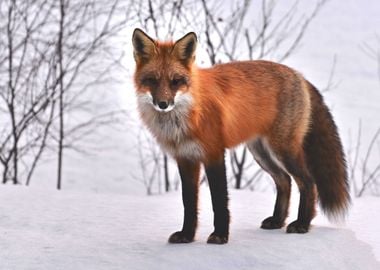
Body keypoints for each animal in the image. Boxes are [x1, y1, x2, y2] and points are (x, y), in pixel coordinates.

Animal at [131, 29, 350, 245]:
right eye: (152, 80)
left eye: (176, 81)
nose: (163, 104)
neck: (185, 116)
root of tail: (299, 75)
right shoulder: (185, 158)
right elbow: (189, 203)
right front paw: (187, 235)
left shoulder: (214, 153)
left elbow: (219, 200)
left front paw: (220, 235)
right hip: (261, 153)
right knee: (285, 181)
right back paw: (277, 220)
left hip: (283, 150)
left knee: (308, 182)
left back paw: (302, 224)